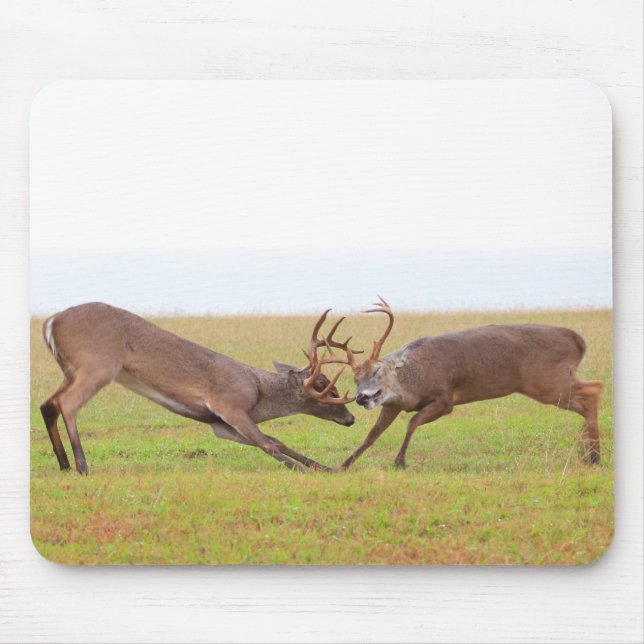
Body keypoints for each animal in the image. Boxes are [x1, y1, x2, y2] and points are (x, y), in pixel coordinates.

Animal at [39, 302, 361, 475]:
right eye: (328, 389)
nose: (351, 419)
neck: (259, 394)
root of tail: (50, 322)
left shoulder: (220, 425)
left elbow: (274, 441)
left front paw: (326, 468)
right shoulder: (229, 405)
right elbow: (267, 443)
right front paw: (303, 470)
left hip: (71, 370)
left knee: (47, 404)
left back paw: (64, 464)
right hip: (98, 365)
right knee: (67, 404)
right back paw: (82, 466)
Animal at [333, 297, 603, 470]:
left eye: (377, 369)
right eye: (355, 380)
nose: (362, 397)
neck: (415, 378)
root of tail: (578, 341)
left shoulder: (445, 399)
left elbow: (413, 422)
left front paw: (399, 461)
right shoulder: (393, 405)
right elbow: (371, 435)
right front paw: (343, 464)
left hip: (547, 382)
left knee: (593, 389)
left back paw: (594, 456)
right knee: (590, 393)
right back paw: (589, 453)